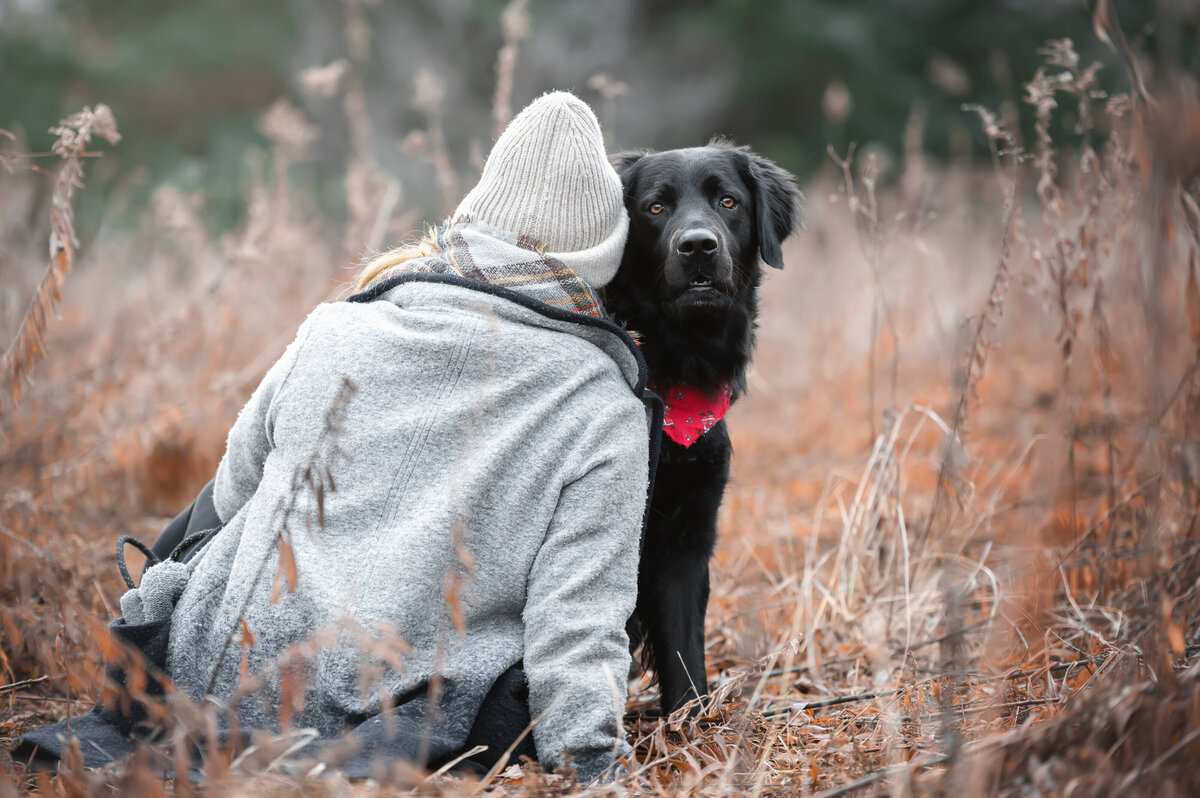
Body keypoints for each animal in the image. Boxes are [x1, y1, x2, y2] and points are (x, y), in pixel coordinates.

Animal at [604, 139, 801, 710]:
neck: (675, 369)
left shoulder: (689, 531)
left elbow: (684, 647)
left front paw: (691, 723)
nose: (697, 247)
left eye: (728, 201)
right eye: (655, 207)